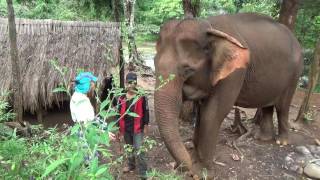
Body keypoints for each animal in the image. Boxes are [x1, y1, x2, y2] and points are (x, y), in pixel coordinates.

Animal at [152, 13, 302, 177]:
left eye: (188, 69)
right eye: (153, 62)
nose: (179, 168)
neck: (210, 27)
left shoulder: (235, 73)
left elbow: (212, 114)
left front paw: (202, 172)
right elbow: (201, 112)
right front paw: (195, 161)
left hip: (294, 75)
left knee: (282, 106)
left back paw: (282, 141)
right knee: (267, 106)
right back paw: (263, 138)